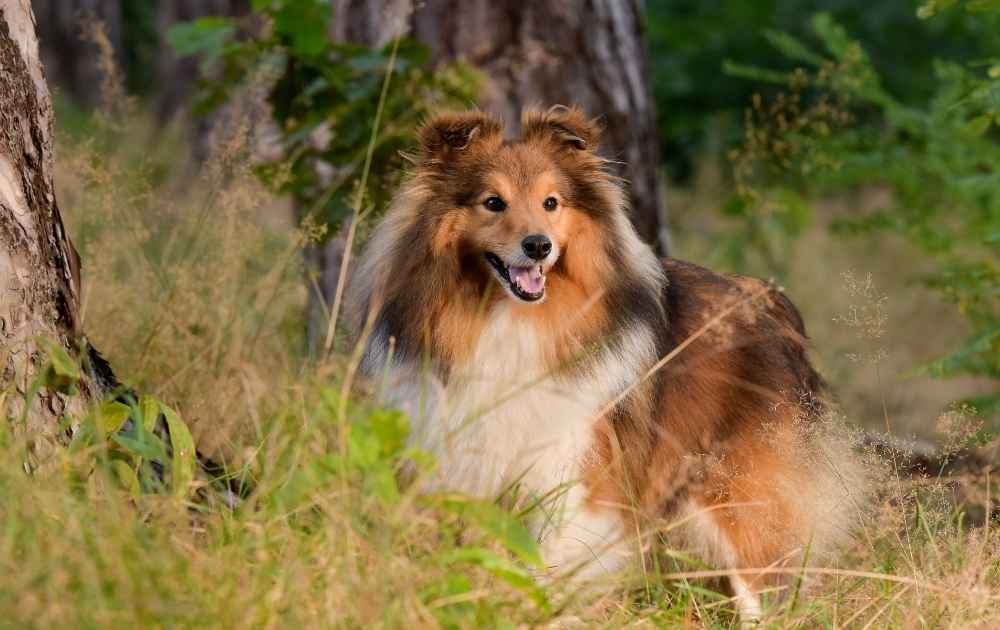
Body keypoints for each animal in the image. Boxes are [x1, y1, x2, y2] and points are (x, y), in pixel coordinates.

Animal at [348, 106, 864, 620]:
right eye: (492, 202)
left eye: (551, 203)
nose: (538, 246)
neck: (511, 318)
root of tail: (771, 303)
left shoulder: (573, 472)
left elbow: (545, 563)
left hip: (738, 497)